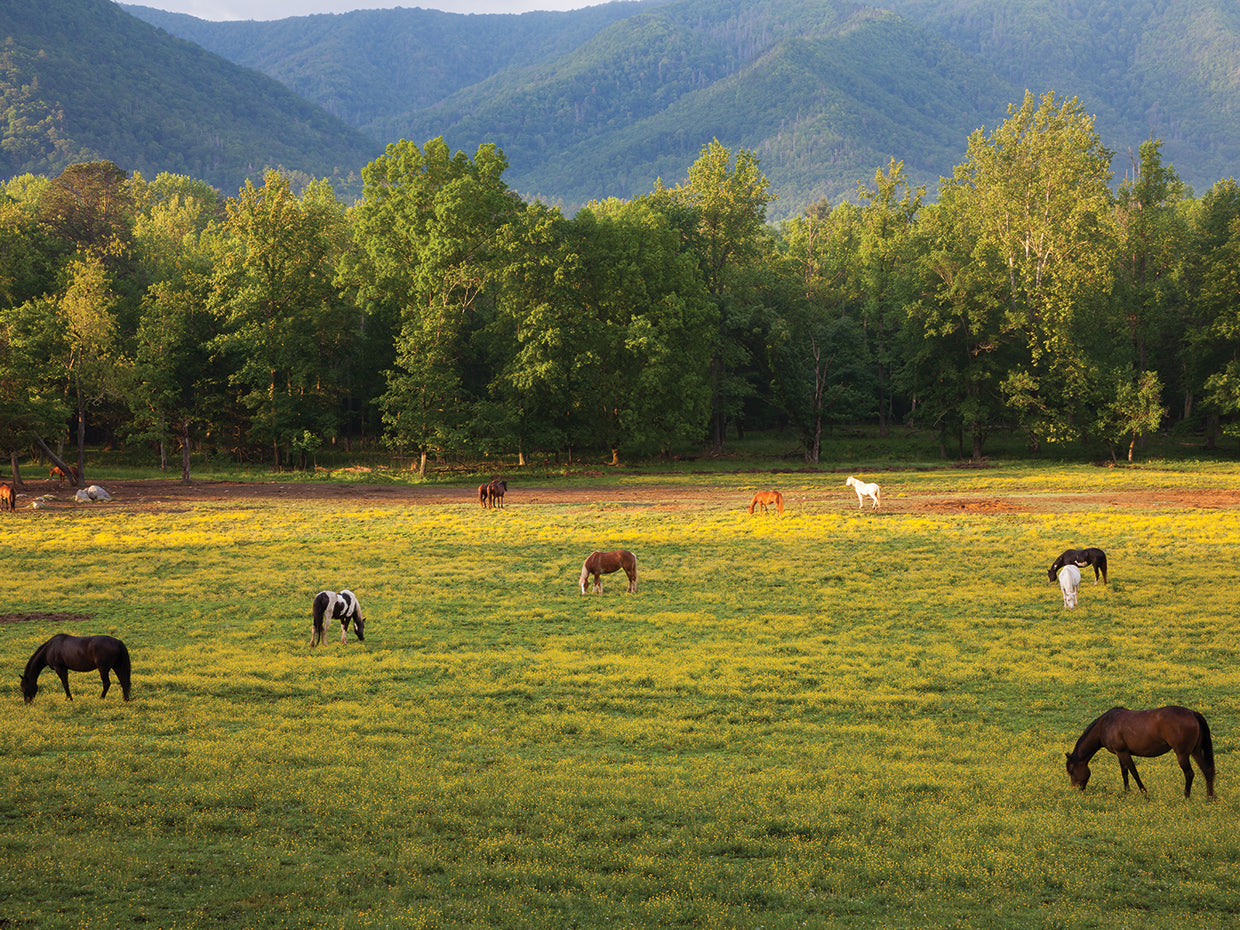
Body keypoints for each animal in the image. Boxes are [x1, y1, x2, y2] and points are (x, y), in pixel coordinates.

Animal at [1066, 706, 1215, 798]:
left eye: (1071, 771)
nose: (1076, 791)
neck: (1105, 724)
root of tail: (1193, 713)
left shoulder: (1123, 752)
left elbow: (1133, 772)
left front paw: (1144, 793)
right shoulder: (1120, 753)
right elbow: (1124, 772)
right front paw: (1127, 792)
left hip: (1182, 754)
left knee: (1189, 774)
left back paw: (1186, 797)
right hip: (1195, 752)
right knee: (1207, 771)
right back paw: (1210, 798)